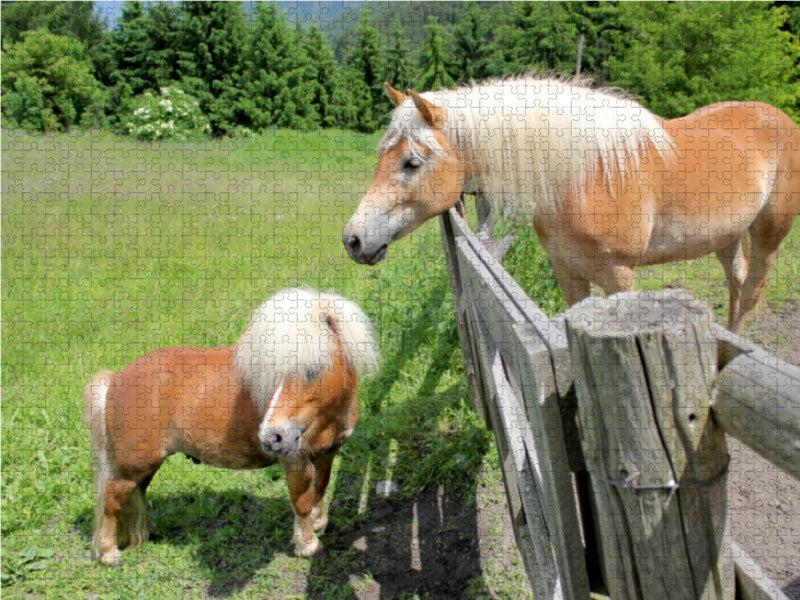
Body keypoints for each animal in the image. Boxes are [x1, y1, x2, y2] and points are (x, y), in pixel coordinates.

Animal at [83, 288, 380, 564]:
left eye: (314, 370)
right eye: (274, 372)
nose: (271, 438)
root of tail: (116, 379)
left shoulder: (328, 453)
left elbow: (321, 488)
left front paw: (319, 523)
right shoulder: (296, 462)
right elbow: (302, 502)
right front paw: (307, 544)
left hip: (145, 465)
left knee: (137, 494)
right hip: (133, 466)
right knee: (111, 499)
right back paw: (108, 552)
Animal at [344, 76, 800, 332]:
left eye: (412, 162)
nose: (353, 239)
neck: (582, 176)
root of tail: (777, 117)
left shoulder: (620, 276)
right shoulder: (567, 271)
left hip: (769, 233)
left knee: (752, 289)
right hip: (727, 236)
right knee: (737, 283)